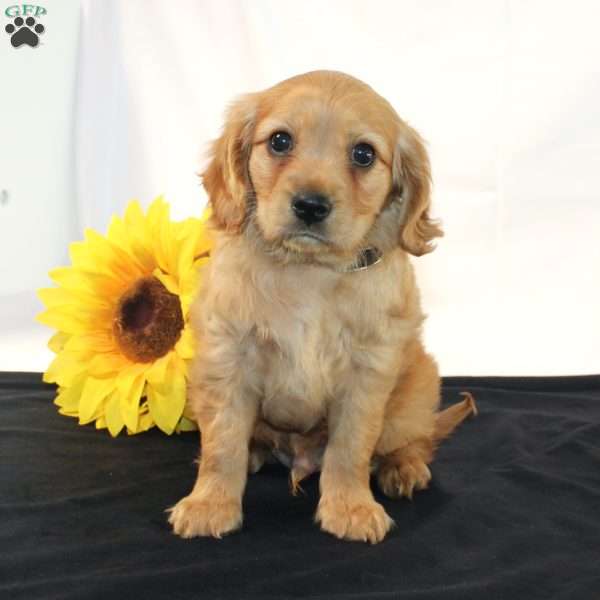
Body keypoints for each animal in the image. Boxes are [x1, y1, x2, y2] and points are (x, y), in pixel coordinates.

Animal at [168, 70, 474, 544]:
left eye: (363, 154)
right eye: (279, 141)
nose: (310, 205)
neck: (309, 272)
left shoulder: (367, 373)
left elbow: (350, 448)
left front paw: (350, 508)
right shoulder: (228, 358)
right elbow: (223, 441)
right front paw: (210, 503)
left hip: (415, 393)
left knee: (416, 439)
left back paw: (403, 467)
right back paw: (254, 451)